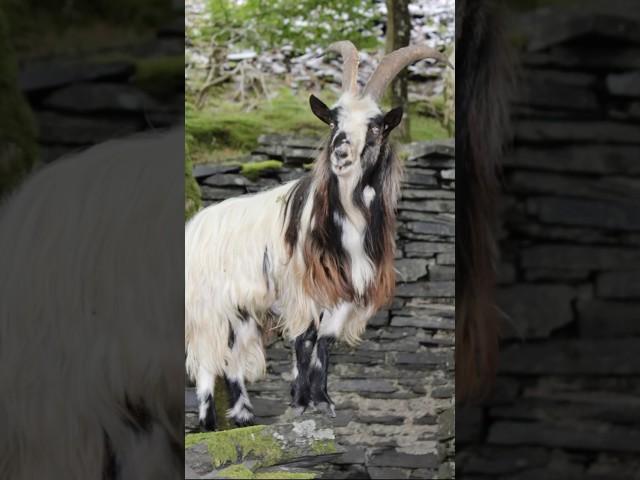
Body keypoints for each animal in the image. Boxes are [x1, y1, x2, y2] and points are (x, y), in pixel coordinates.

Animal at [184, 42, 450, 432]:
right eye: (334, 121)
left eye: (375, 126)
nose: (340, 153)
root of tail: (195, 225)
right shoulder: (301, 289)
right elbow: (303, 339)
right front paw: (300, 402)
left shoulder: (348, 290)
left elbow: (324, 339)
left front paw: (320, 400)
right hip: (209, 307)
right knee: (206, 361)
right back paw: (208, 425)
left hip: (242, 310)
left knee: (232, 357)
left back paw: (246, 418)